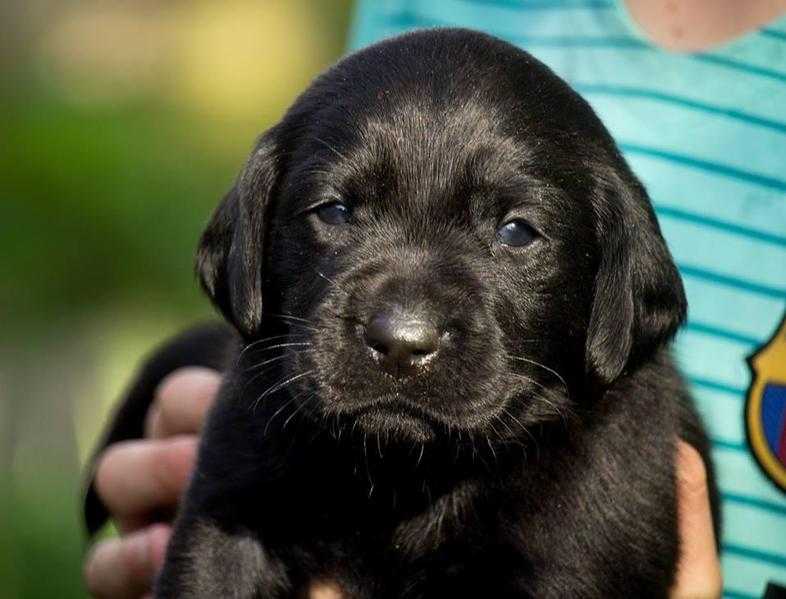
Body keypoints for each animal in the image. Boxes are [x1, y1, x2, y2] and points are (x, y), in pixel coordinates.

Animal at [84, 25, 716, 596]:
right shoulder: (228, 517)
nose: (400, 342)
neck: (404, 477)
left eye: (516, 231)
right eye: (334, 211)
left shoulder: (574, 552)